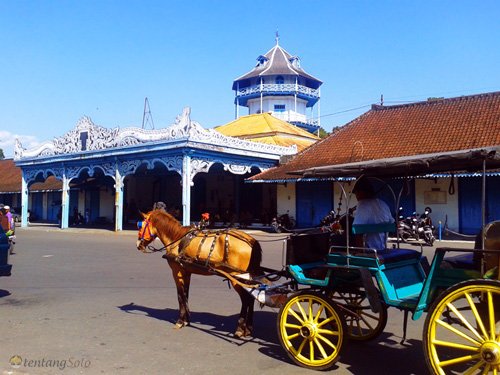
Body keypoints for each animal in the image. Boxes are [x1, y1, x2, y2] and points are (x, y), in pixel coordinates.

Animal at [137, 210, 262, 340]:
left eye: (140, 226)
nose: (138, 244)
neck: (177, 238)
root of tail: (251, 240)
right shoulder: (186, 272)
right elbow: (186, 295)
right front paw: (186, 320)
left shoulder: (177, 272)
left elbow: (180, 296)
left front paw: (180, 321)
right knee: (251, 298)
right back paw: (248, 329)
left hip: (236, 278)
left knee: (246, 300)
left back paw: (239, 329)